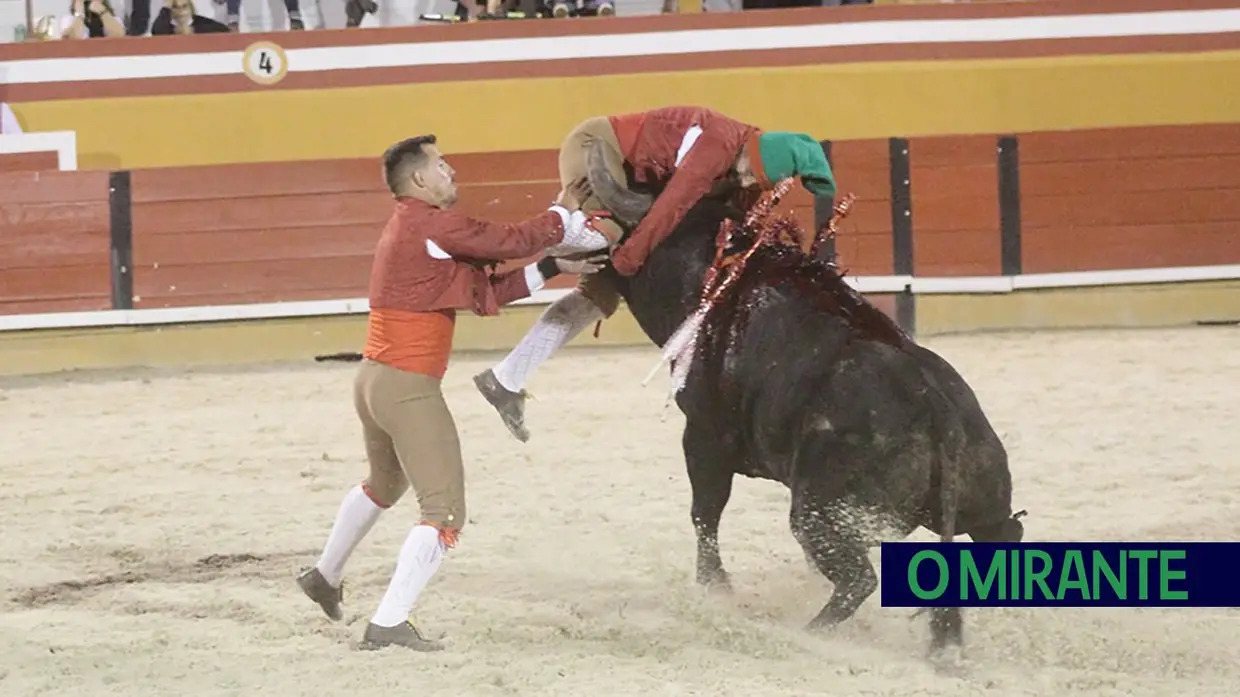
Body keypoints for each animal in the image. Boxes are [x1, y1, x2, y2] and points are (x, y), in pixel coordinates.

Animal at [580, 139, 1026, 654]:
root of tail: (937, 408)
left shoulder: (704, 436)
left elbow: (705, 513)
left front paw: (716, 589)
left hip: (818, 511)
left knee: (856, 579)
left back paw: (806, 633)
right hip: (982, 503)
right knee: (1004, 535)